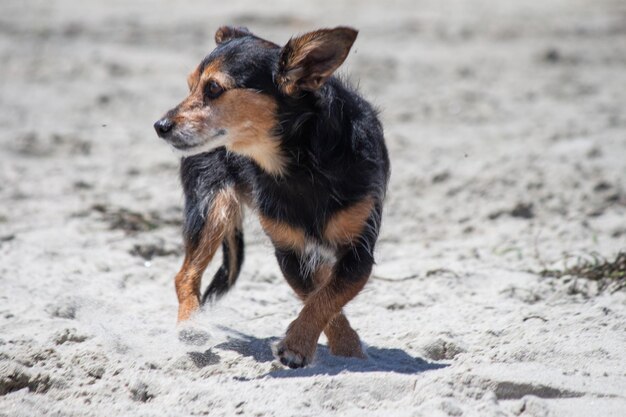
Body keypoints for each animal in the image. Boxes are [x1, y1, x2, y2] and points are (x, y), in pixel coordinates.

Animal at [154, 25, 388, 368]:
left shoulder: (358, 253)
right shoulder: (289, 252)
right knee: (184, 275)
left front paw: (336, 348)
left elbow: (326, 296)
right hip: (213, 207)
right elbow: (319, 297)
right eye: (189, 86)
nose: (160, 125)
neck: (300, 165)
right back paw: (190, 327)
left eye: (213, 88)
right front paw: (309, 345)